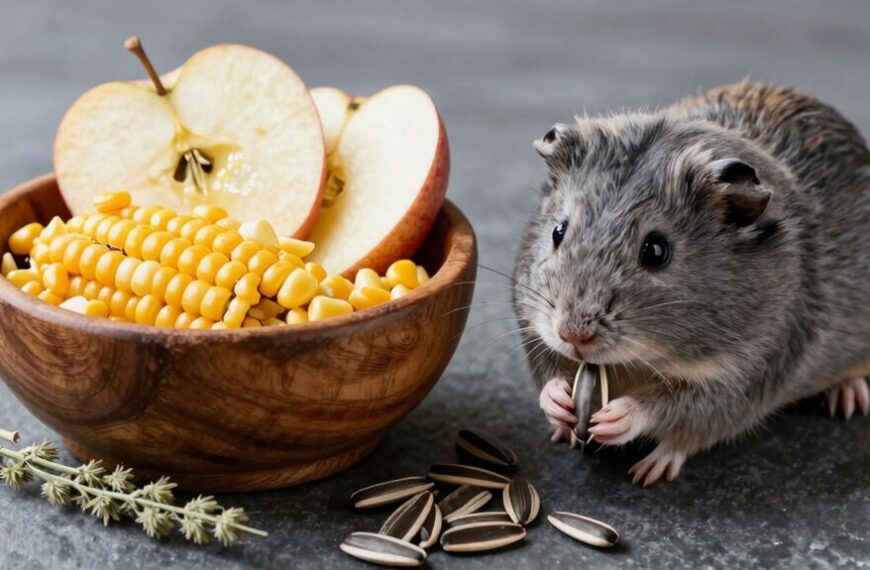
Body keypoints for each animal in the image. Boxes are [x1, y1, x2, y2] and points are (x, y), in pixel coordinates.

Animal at [513, 81, 870, 486]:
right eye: (558, 231)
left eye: (656, 251)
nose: (573, 335)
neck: (640, 362)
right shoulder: (533, 334)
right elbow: (549, 376)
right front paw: (559, 409)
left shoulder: (739, 379)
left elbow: (675, 416)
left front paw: (635, 456)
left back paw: (848, 399)